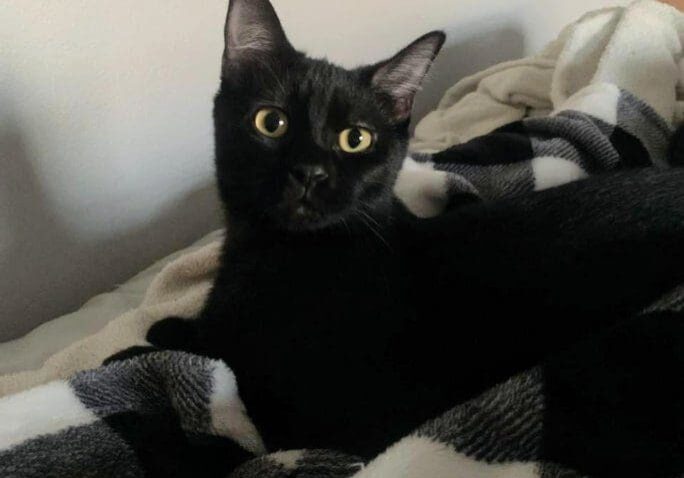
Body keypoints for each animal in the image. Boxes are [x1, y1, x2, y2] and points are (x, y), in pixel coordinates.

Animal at [119, 0, 684, 464]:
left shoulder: (320, 422)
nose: (310, 173)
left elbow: (205, 371)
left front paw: (145, 347)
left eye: (356, 139)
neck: (276, 255)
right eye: (270, 122)